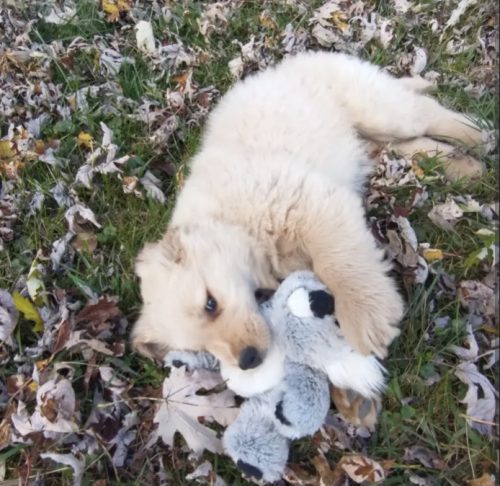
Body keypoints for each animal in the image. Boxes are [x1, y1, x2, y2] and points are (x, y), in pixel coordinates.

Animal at [132, 52, 485, 423]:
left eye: (210, 304)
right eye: (200, 348)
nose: (248, 361)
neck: (231, 221)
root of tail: (303, 59)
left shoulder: (311, 203)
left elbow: (341, 263)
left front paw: (366, 320)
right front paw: (353, 396)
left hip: (378, 109)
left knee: (426, 113)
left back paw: (475, 134)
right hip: (371, 143)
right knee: (414, 146)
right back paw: (465, 167)